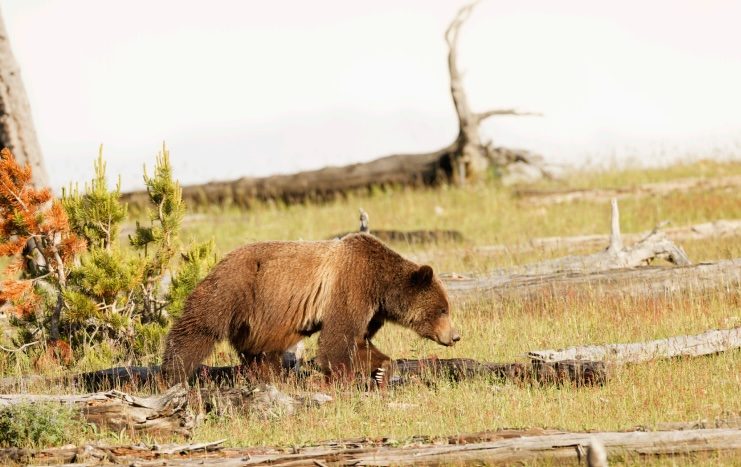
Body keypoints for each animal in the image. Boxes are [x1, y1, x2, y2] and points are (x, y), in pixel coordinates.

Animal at [161, 232, 460, 385]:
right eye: (443, 309)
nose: (455, 336)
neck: (380, 285)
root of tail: (222, 258)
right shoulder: (350, 285)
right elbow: (336, 342)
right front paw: (343, 378)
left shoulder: (370, 310)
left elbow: (359, 340)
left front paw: (381, 369)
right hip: (235, 287)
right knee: (199, 327)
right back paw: (172, 373)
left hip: (260, 319)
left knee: (261, 354)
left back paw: (270, 377)